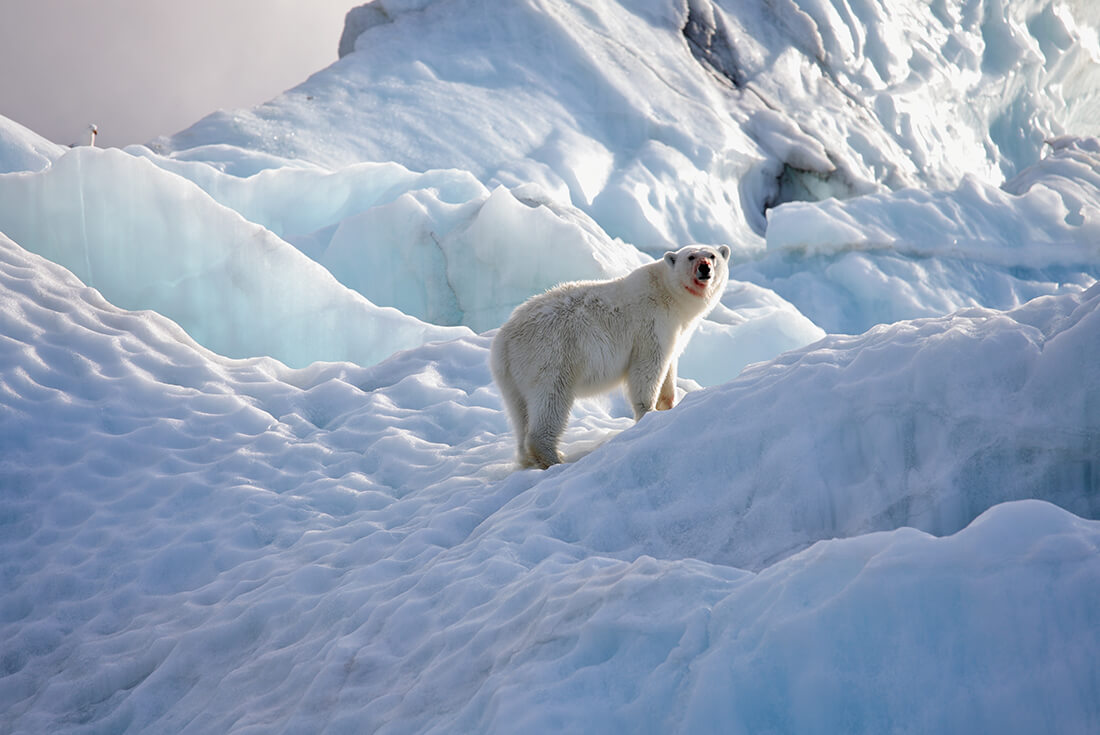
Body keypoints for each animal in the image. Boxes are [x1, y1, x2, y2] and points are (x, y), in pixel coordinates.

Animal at [490, 244, 730, 468]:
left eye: (712, 255)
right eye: (691, 256)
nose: (704, 268)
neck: (666, 293)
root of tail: (503, 342)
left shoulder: (675, 331)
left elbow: (669, 366)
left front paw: (668, 405)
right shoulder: (651, 325)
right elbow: (648, 367)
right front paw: (648, 414)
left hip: (512, 377)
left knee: (519, 412)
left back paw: (527, 458)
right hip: (550, 356)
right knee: (551, 399)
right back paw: (554, 458)